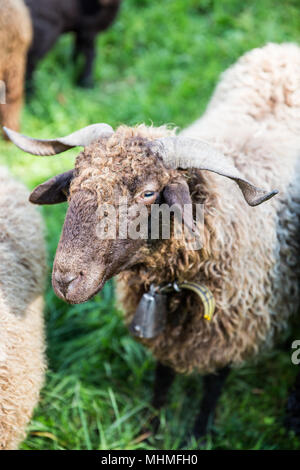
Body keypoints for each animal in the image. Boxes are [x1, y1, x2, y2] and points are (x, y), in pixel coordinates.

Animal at [6, 41, 300, 440]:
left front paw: (199, 434)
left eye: (148, 193)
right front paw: (151, 431)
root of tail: (284, 48)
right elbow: (162, 380)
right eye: (74, 182)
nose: (66, 281)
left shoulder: (234, 328)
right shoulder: (165, 333)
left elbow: (213, 386)